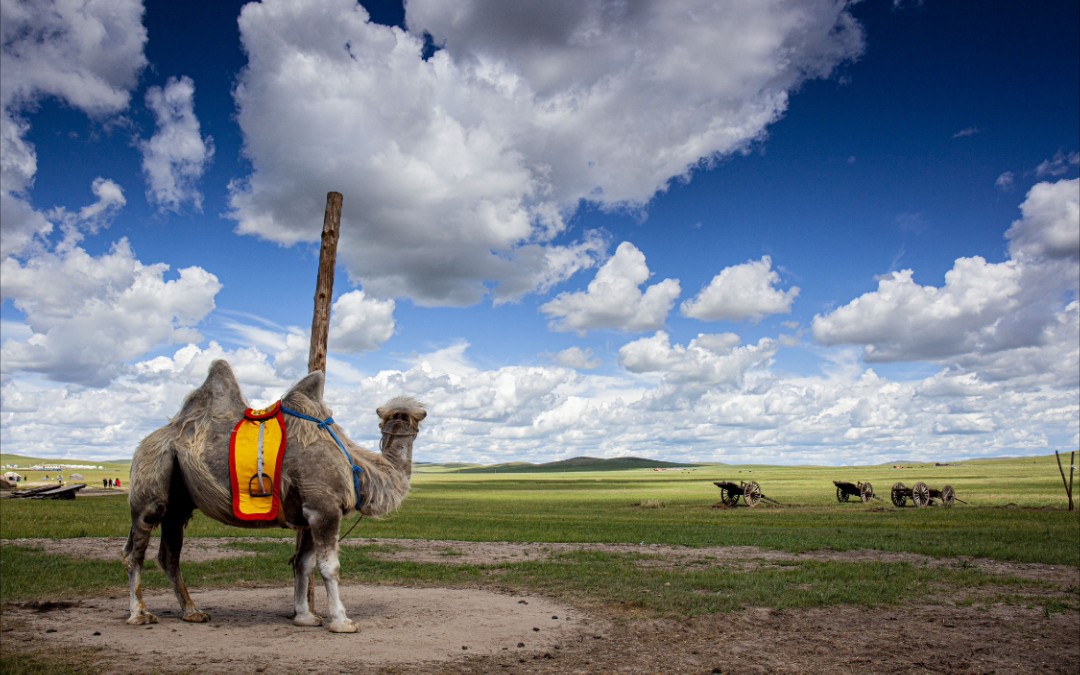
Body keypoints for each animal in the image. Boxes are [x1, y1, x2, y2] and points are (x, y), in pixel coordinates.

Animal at [118, 360, 421, 630]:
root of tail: (149, 441)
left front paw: (305, 617)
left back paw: (193, 612)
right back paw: (140, 614)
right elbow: (329, 566)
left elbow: (303, 564)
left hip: (179, 499)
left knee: (169, 553)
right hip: (152, 472)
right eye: (405, 416)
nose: (413, 415)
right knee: (136, 548)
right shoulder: (323, 506)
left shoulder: (308, 514)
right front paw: (341, 621)